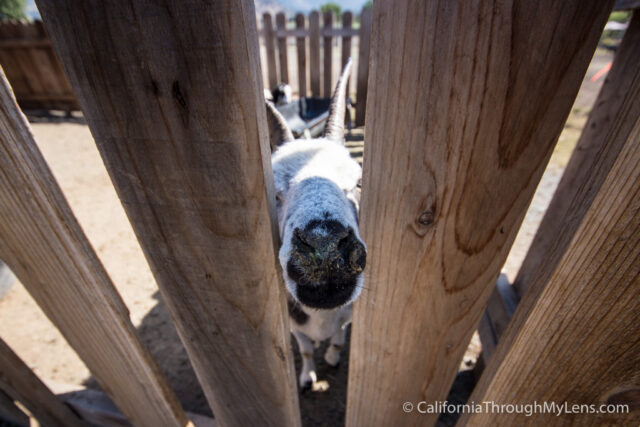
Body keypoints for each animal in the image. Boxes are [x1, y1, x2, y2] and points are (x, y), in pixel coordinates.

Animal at [264, 59, 364, 392]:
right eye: (275, 193)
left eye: (358, 181)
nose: (325, 250)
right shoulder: (294, 325)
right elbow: (306, 349)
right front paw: (307, 377)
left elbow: (338, 338)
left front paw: (332, 356)